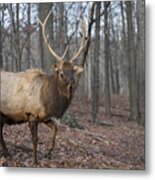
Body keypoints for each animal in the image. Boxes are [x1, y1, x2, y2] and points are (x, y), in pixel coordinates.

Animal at [0, 10, 87, 166]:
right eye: (61, 71)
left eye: (73, 71)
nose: (71, 82)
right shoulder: (31, 114)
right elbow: (35, 140)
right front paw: (35, 161)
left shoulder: (45, 117)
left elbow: (56, 128)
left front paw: (48, 152)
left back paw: (7, 153)